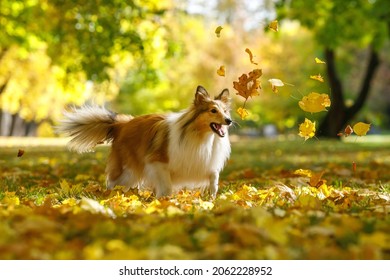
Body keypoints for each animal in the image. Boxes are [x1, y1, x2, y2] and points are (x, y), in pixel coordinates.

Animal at [58, 85, 232, 197]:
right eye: (213, 111)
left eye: (225, 111)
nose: (229, 121)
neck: (200, 135)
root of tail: (123, 123)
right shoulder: (158, 163)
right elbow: (166, 187)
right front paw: (164, 202)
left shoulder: (205, 163)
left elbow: (214, 178)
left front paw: (212, 197)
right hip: (128, 170)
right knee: (113, 182)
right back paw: (110, 196)